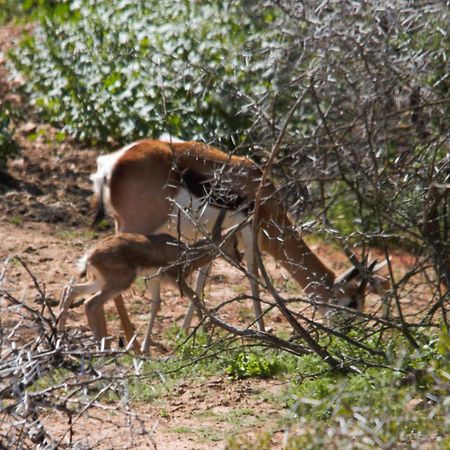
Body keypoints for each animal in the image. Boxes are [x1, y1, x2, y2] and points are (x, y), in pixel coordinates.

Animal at [60, 209, 243, 354]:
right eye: (233, 243)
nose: (239, 259)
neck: (186, 254)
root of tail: (90, 257)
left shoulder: (156, 281)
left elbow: (156, 305)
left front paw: (146, 348)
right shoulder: (177, 281)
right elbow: (196, 298)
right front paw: (207, 338)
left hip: (99, 282)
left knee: (71, 290)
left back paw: (62, 337)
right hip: (119, 284)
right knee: (90, 303)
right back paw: (104, 350)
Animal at [92, 139, 386, 336]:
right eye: (352, 303)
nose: (351, 334)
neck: (263, 195)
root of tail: (112, 164)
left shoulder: (217, 238)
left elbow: (201, 278)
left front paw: (189, 331)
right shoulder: (249, 234)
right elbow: (254, 279)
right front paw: (262, 330)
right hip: (135, 225)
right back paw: (130, 339)